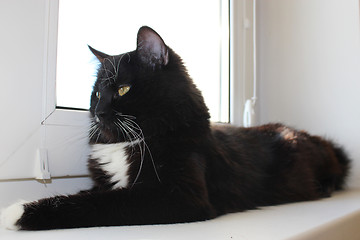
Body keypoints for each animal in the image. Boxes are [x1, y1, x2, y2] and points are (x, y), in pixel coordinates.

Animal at [0, 26, 348, 231]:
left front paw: (16, 211)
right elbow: (87, 195)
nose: (98, 113)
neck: (135, 139)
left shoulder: (178, 195)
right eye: (97, 93)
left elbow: (97, 204)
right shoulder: (107, 184)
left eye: (123, 89)